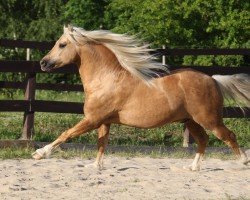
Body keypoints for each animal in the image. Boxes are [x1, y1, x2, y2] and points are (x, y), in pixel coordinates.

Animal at [32, 25, 249, 170]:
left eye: (62, 44)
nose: (43, 63)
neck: (106, 79)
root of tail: (213, 80)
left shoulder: (92, 119)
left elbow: (66, 134)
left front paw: (39, 153)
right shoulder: (104, 121)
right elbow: (102, 144)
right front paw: (96, 167)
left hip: (210, 120)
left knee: (228, 136)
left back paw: (243, 161)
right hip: (191, 121)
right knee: (203, 140)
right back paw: (193, 168)